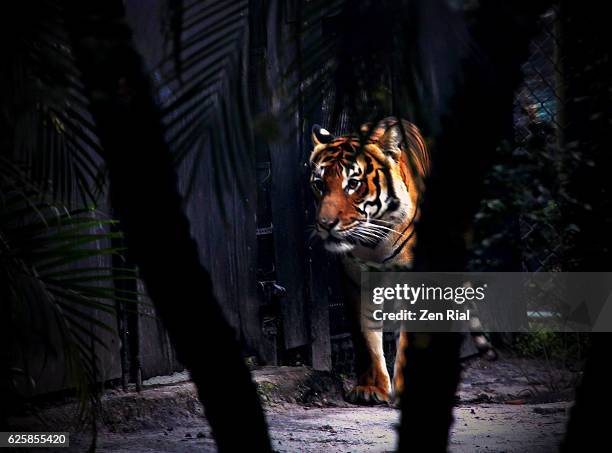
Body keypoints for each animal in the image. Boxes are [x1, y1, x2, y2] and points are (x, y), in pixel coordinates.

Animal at [308, 116, 428, 402]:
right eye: (319, 184)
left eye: (353, 184)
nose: (325, 224)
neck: (374, 244)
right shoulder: (356, 279)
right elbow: (366, 337)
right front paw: (371, 388)